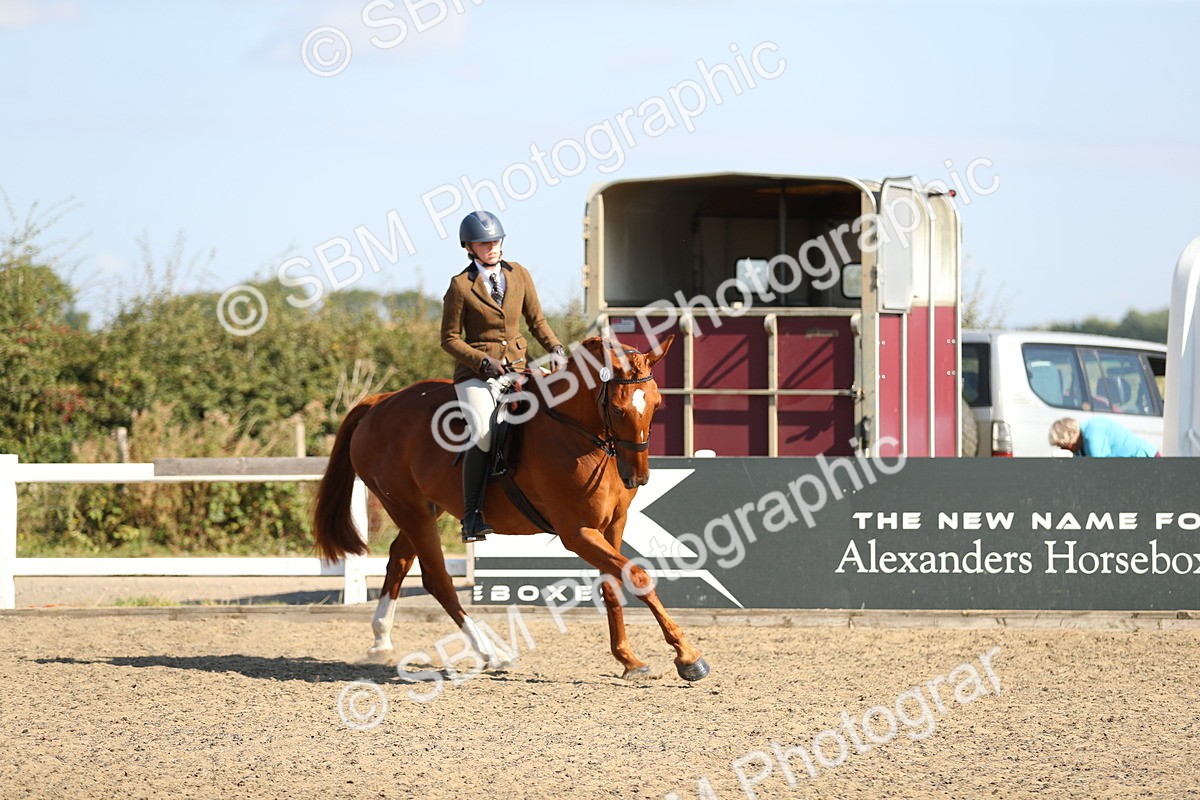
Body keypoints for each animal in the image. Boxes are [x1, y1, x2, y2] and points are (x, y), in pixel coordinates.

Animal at [313, 335, 711, 682]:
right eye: (616, 407)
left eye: (656, 404)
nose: (638, 477)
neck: (578, 433)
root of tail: (381, 402)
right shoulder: (577, 533)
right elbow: (639, 577)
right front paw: (688, 657)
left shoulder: (614, 524)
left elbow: (615, 584)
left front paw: (628, 660)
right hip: (409, 509)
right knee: (437, 579)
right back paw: (492, 653)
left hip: (425, 508)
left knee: (398, 559)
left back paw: (381, 639)